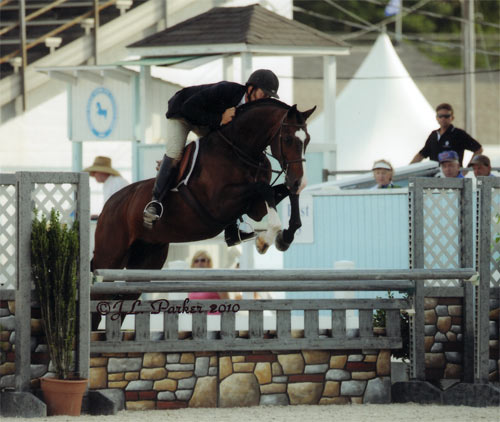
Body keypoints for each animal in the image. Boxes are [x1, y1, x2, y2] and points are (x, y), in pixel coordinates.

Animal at [92, 99, 314, 326]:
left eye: (307, 140)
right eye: (287, 139)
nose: (299, 180)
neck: (241, 151)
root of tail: (109, 205)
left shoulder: (256, 208)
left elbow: (284, 193)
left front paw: (285, 237)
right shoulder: (219, 202)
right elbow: (265, 188)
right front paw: (266, 239)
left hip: (146, 259)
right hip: (110, 257)